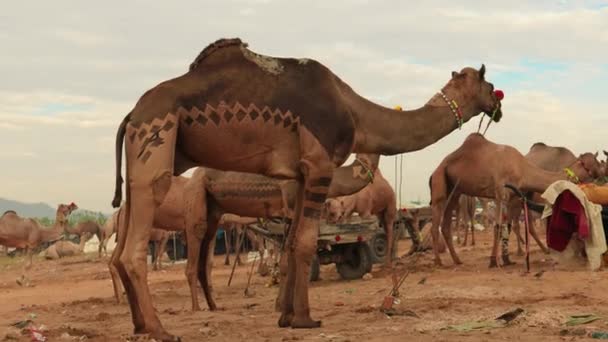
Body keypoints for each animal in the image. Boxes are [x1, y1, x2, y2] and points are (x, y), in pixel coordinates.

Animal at [110, 38, 504, 340]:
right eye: (489, 83)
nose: (498, 104)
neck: (354, 112)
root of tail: (131, 116)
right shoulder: (318, 166)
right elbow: (305, 243)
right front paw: (304, 318)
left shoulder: (297, 179)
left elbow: (289, 246)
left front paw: (285, 315)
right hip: (155, 142)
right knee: (134, 249)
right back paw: (160, 329)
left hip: (147, 170)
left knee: (122, 250)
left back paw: (140, 326)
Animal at [428, 132, 600, 268]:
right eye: (594, 163)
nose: (599, 175)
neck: (522, 168)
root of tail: (435, 170)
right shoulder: (500, 193)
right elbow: (498, 226)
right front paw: (493, 261)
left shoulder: (512, 196)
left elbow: (508, 226)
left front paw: (506, 259)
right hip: (439, 182)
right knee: (436, 222)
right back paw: (438, 261)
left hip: (455, 191)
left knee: (446, 225)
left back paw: (457, 260)